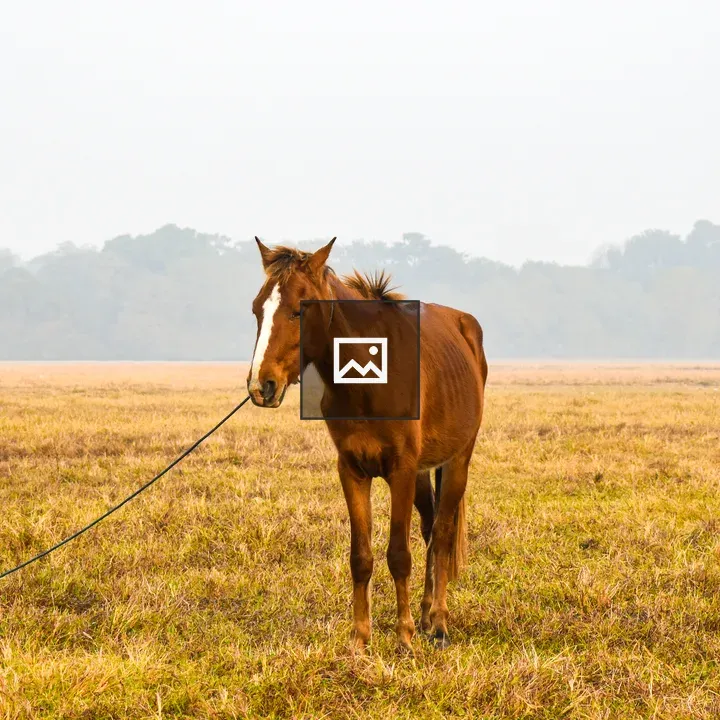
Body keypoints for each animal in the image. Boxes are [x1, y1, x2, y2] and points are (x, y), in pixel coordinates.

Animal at [247, 237, 488, 652]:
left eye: (297, 311)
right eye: (256, 309)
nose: (262, 386)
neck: (366, 382)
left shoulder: (401, 470)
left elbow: (399, 554)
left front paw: (404, 636)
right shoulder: (352, 470)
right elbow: (360, 557)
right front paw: (361, 638)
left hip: (458, 461)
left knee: (441, 535)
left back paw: (438, 623)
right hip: (422, 473)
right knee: (429, 529)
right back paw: (426, 614)